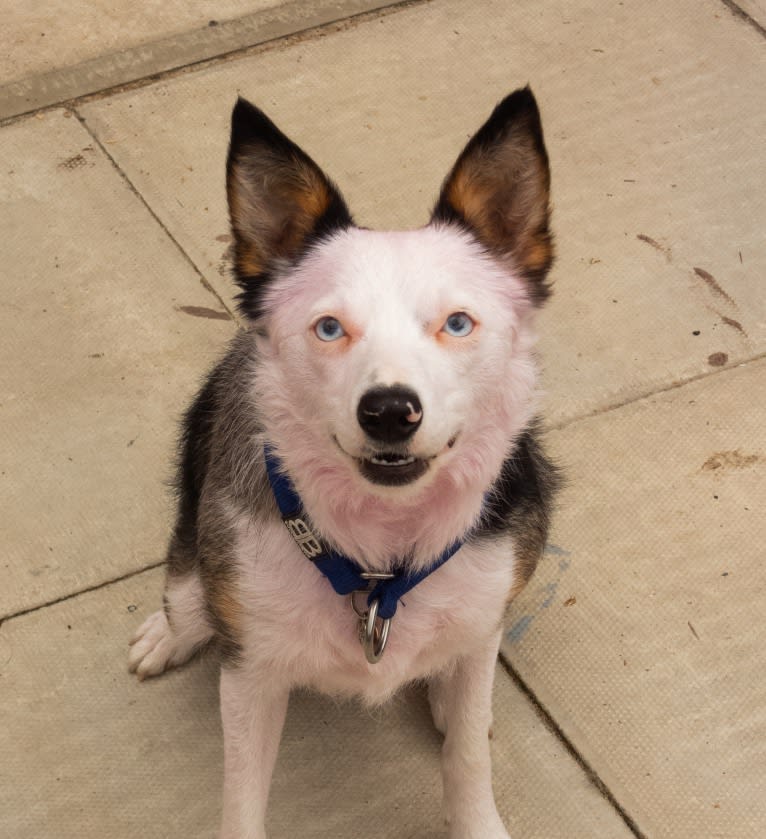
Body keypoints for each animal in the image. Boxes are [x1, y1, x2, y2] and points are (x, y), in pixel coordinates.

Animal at [129, 87, 560, 839]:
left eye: (457, 322)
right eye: (329, 327)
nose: (389, 411)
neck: (379, 556)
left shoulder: (484, 603)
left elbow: (467, 756)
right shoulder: (251, 672)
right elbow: (242, 797)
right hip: (193, 564)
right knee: (185, 599)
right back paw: (168, 632)